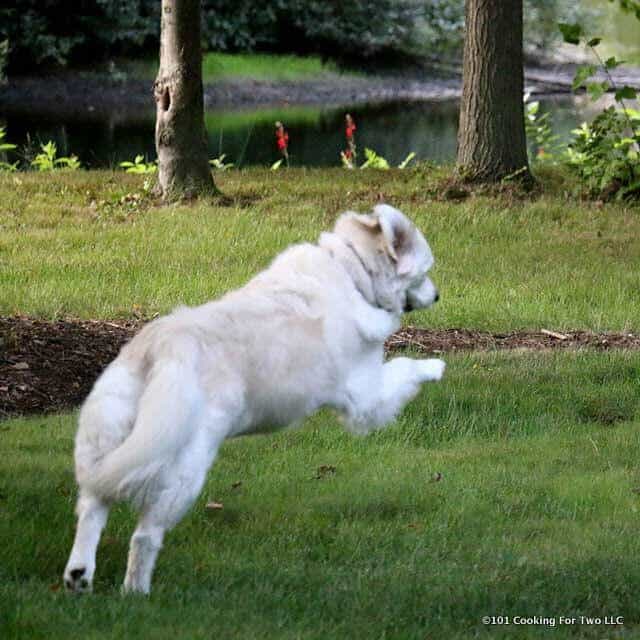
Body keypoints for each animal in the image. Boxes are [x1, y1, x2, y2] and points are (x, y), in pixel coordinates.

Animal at [65, 204, 444, 596]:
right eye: (425, 272)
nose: (438, 296)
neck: (353, 273)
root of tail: (165, 345)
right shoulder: (365, 396)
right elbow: (403, 369)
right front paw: (434, 367)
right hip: (182, 471)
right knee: (144, 536)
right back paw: (136, 591)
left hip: (108, 441)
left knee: (92, 506)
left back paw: (80, 574)